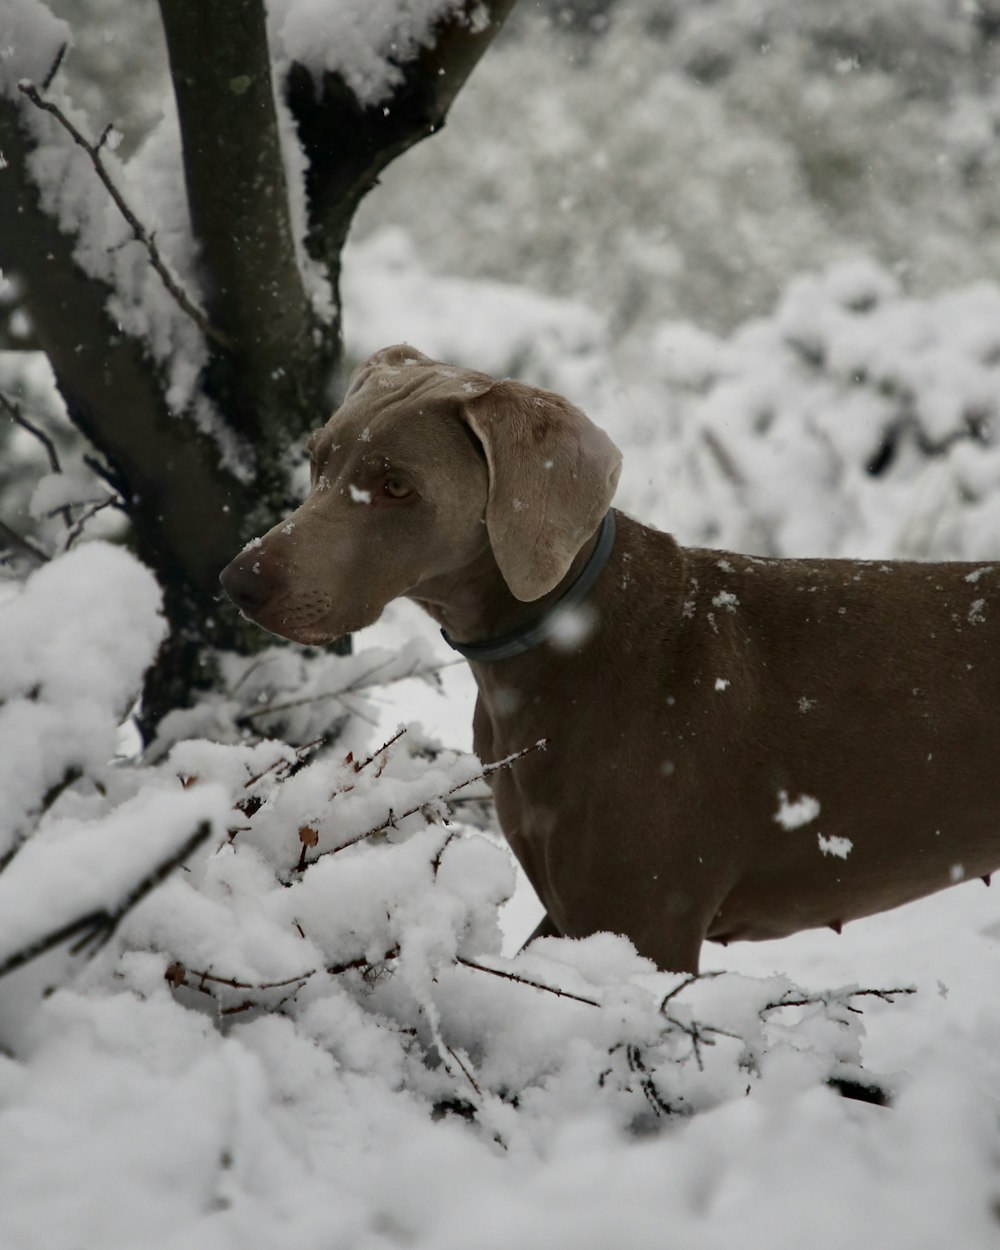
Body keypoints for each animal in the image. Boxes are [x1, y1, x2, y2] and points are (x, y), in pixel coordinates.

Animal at [222, 345, 1000, 975]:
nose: (240, 581)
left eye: (395, 485)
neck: (566, 646)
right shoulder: (574, 911)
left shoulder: (649, 922)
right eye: (318, 458)